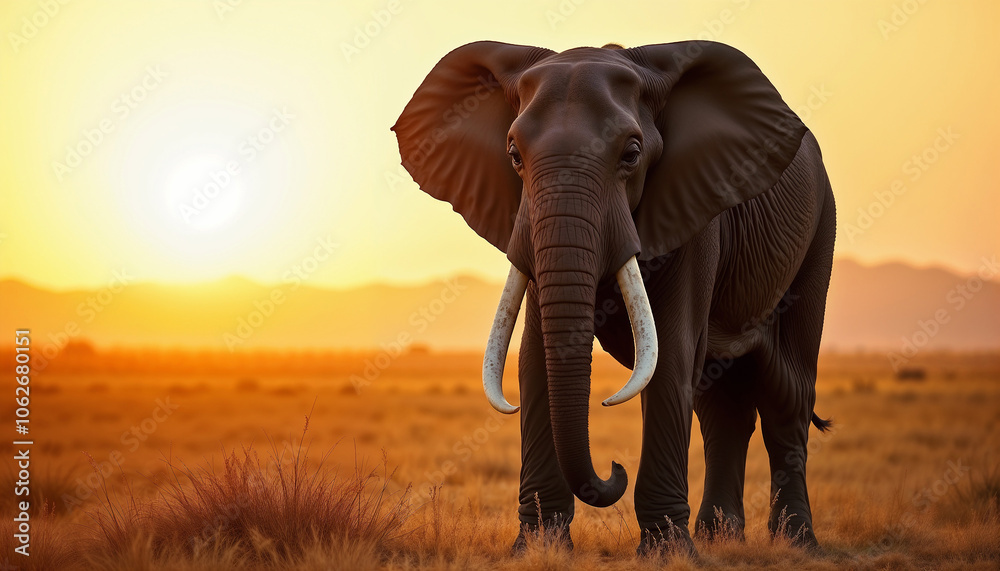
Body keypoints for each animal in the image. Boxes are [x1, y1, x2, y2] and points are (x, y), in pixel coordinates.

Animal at [392, 40, 835, 555]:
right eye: (514, 155)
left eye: (632, 154)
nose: (613, 469)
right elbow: (536, 359)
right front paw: (540, 549)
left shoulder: (696, 209)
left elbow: (672, 355)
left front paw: (668, 554)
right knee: (720, 403)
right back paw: (720, 538)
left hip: (819, 231)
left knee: (786, 393)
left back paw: (797, 543)